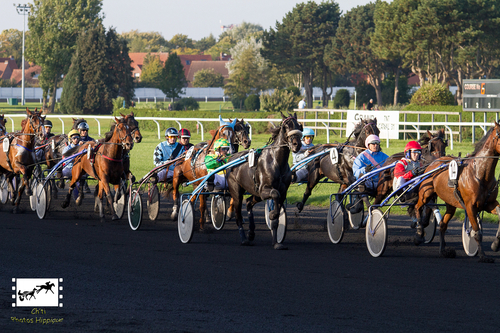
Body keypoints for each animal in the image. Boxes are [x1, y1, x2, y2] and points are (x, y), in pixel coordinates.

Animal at [228, 113, 304, 248]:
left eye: (299, 125)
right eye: (285, 126)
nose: (296, 144)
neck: (276, 161)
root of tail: (231, 159)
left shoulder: (283, 192)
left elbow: (277, 217)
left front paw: (276, 243)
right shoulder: (264, 190)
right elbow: (275, 194)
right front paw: (272, 214)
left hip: (255, 193)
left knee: (249, 202)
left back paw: (251, 232)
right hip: (236, 192)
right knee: (238, 215)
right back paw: (244, 239)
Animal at [412, 120, 500, 260]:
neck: (479, 174)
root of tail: (434, 163)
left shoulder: (489, 203)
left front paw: (496, 244)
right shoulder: (470, 206)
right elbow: (477, 232)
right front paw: (482, 255)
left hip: (450, 203)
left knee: (442, 224)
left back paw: (443, 250)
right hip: (426, 193)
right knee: (418, 206)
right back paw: (419, 232)